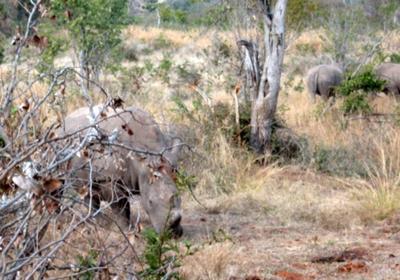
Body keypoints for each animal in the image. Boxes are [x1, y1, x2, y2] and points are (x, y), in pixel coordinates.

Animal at [57, 105, 183, 236]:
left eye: (179, 198)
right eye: (150, 202)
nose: (172, 234)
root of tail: (64, 120)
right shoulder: (111, 180)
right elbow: (120, 207)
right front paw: (126, 230)